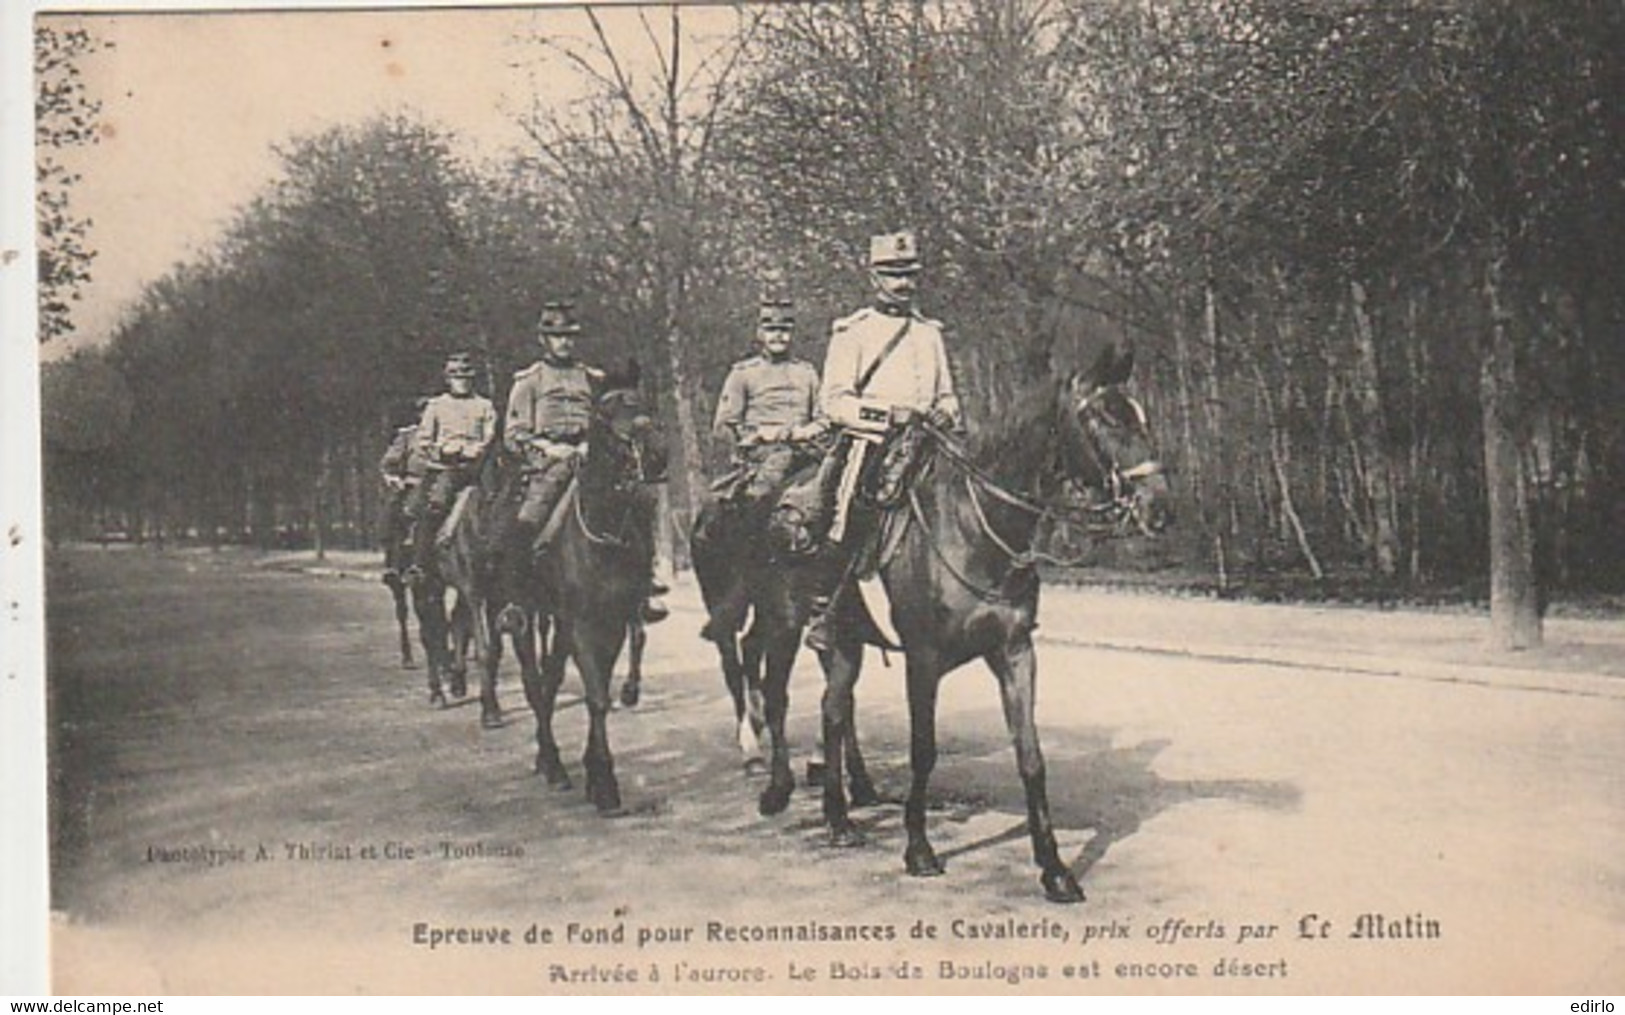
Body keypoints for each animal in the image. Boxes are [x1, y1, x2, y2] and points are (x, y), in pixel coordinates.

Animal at [516, 360, 663, 812]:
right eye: (606, 410)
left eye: (644, 402)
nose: (656, 454)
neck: (602, 532)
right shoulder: (581, 624)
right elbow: (596, 695)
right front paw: (605, 784)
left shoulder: (611, 622)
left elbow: (598, 693)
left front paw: (595, 773)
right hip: (522, 617)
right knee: (534, 682)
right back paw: (552, 763)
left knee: (549, 679)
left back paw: (550, 760)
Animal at [786, 345, 1170, 902]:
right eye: (1104, 417)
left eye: (1139, 414)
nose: (1159, 507)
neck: (973, 525)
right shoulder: (923, 661)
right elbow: (923, 751)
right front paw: (919, 849)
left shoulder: (1014, 652)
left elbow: (1030, 756)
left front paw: (1054, 868)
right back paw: (798, 799)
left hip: (845, 644)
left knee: (834, 711)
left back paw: (841, 815)